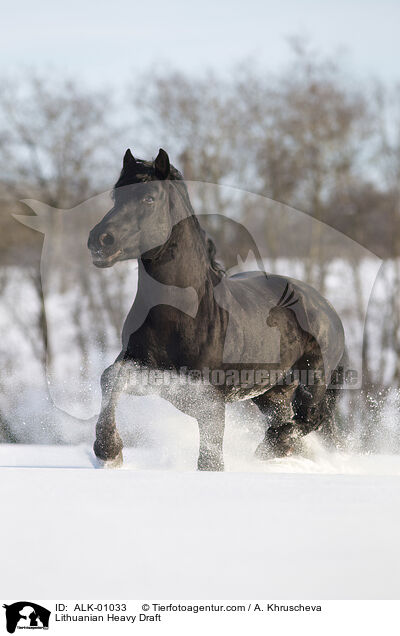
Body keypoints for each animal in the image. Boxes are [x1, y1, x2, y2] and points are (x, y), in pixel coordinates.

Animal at [87, 148, 344, 468]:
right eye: (115, 196)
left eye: (149, 198)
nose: (100, 240)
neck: (181, 315)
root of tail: (326, 307)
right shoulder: (149, 372)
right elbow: (111, 377)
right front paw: (108, 451)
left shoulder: (210, 400)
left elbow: (210, 460)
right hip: (271, 393)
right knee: (292, 420)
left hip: (312, 381)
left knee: (310, 418)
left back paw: (273, 447)